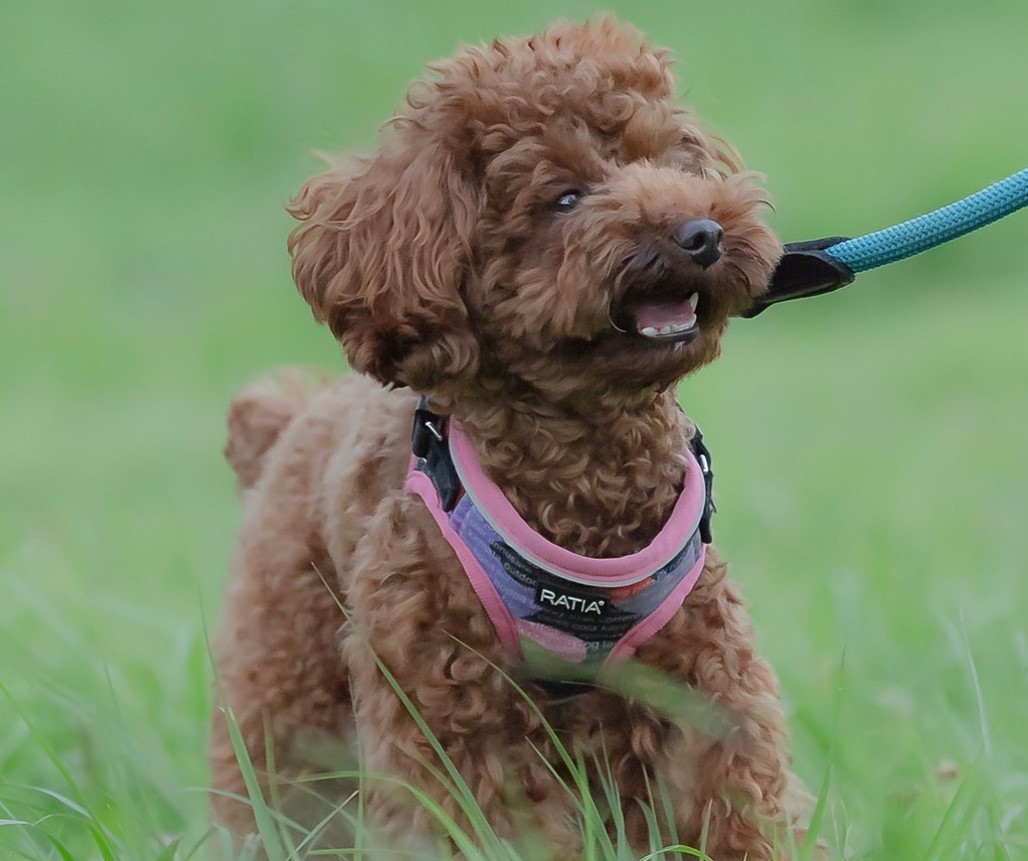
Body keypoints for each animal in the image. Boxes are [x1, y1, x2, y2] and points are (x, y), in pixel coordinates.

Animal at [208, 16, 814, 858]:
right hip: (287, 670)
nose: (702, 233)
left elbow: (730, 796)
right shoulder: (447, 693)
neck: (590, 472)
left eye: (670, 161)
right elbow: (485, 814)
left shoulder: (702, 673)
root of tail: (291, 419)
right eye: (564, 197)